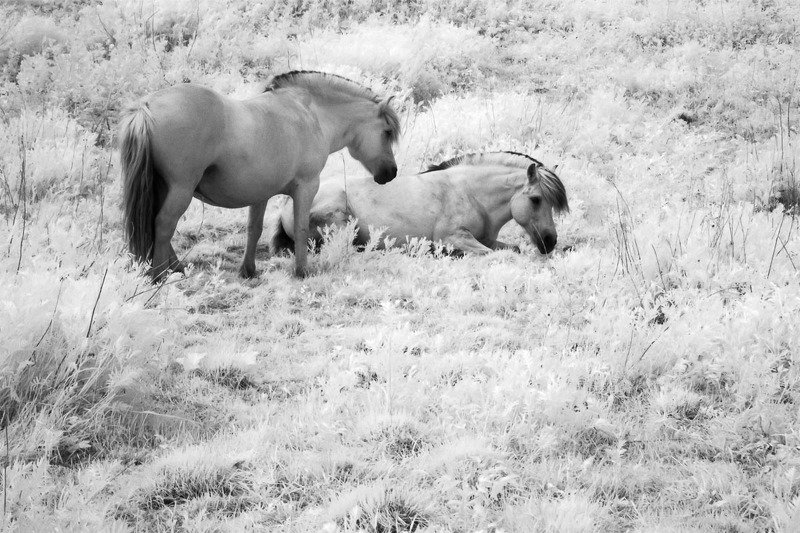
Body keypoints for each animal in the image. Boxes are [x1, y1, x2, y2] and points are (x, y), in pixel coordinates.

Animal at [118, 70, 401, 281]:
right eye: (387, 132)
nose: (391, 173)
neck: (310, 114)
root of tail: (146, 107)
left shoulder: (260, 193)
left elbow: (253, 230)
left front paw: (248, 270)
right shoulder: (307, 187)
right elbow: (301, 228)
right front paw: (302, 271)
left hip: (163, 188)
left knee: (157, 226)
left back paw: (175, 268)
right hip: (181, 189)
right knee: (163, 224)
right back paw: (159, 276)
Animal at [266, 151, 569, 257]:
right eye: (536, 199)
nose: (550, 241)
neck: (471, 193)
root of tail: (286, 208)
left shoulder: (487, 239)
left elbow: (512, 249)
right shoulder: (453, 238)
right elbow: (495, 255)